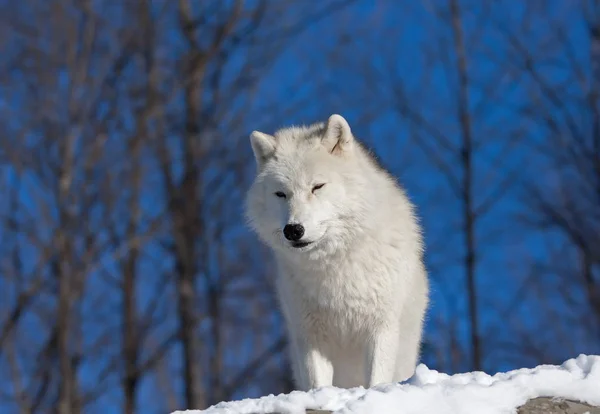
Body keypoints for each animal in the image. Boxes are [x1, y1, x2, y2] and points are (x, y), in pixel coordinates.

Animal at [246, 115, 428, 390]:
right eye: (281, 194)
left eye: (317, 187)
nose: (293, 230)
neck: (335, 265)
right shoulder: (311, 336)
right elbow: (317, 384)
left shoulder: (381, 328)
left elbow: (376, 379)